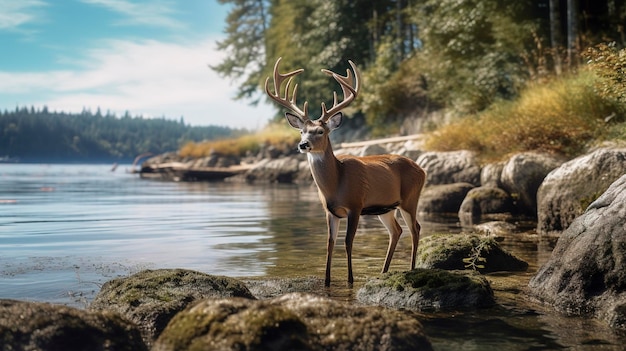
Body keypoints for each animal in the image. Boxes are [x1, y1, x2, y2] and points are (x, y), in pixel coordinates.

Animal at [264, 57, 424, 288]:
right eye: (302, 131)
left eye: (320, 131)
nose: (303, 145)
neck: (336, 184)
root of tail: (421, 169)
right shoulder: (330, 210)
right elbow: (330, 243)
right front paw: (327, 281)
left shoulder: (355, 205)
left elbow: (348, 242)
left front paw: (350, 280)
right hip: (386, 208)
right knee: (397, 231)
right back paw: (383, 271)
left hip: (410, 199)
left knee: (415, 228)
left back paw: (411, 269)